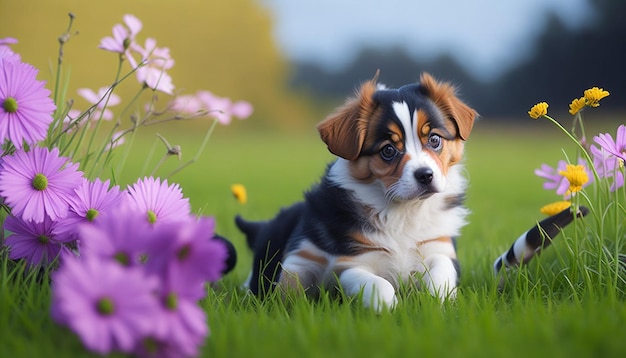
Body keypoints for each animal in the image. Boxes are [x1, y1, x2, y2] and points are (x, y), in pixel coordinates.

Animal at [236, 72, 476, 310]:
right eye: (388, 150)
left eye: (434, 139)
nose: (425, 175)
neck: (404, 211)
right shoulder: (348, 264)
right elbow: (379, 286)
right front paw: (391, 308)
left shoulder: (438, 245)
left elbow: (441, 274)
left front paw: (436, 302)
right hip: (294, 263)